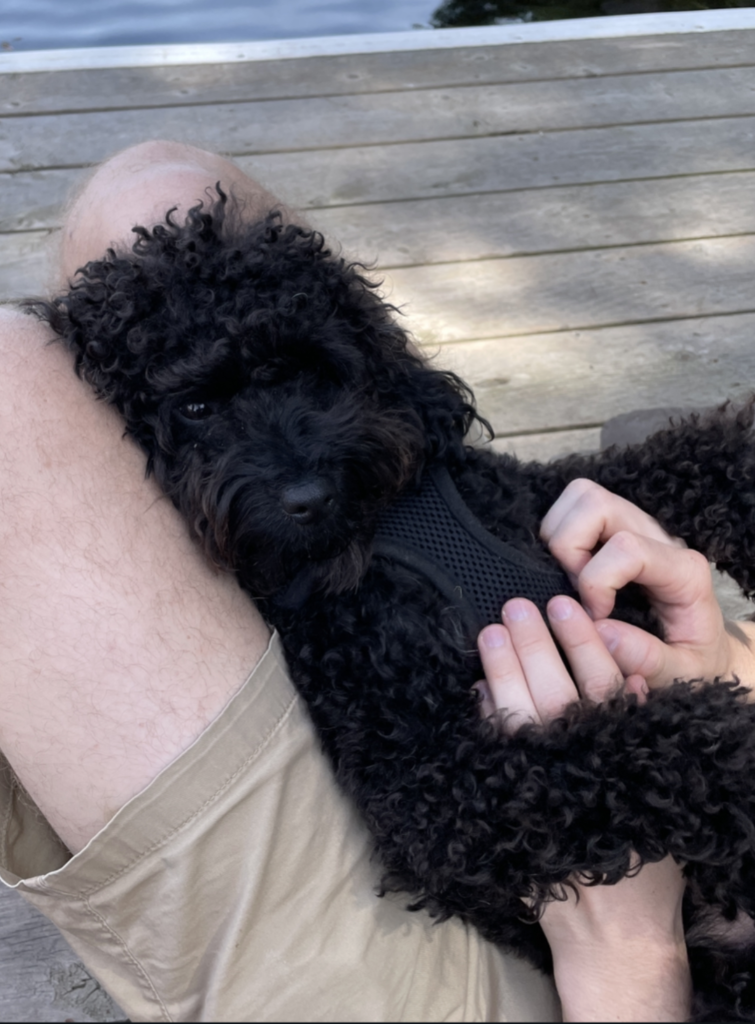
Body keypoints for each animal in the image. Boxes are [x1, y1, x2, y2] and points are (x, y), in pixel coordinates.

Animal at [35, 190, 755, 1015]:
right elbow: (640, 744)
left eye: (311, 367)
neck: (379, 535)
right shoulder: (428, 790)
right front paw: (740, 757)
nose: (307, 495)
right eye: (193, 407)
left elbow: (667, 462)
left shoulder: (552, 505)